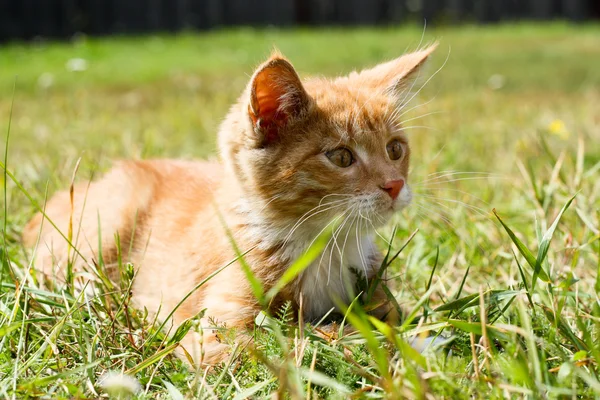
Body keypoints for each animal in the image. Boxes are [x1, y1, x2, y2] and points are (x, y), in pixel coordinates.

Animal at [22, 44, 436, 366]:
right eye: (342, 157)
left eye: (395, 149)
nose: (395, 185)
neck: (323, 246)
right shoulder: (215, 331)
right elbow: (294, 342)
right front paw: (387, 343)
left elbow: (392, 313)